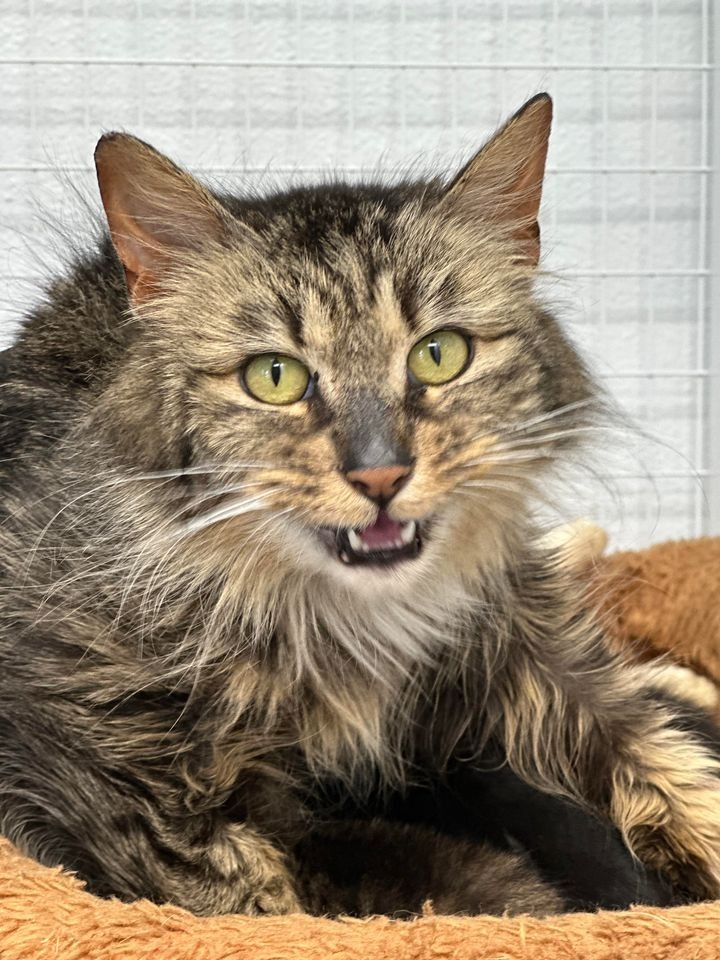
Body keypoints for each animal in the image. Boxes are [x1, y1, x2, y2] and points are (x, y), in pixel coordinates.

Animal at [0, 94, 716, 920]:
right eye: (274, 376)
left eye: (439, 354)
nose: (381, 474)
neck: (356, 626)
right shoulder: (120, 774)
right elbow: (252, 901)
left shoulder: (536, 643)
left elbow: (662, 758)